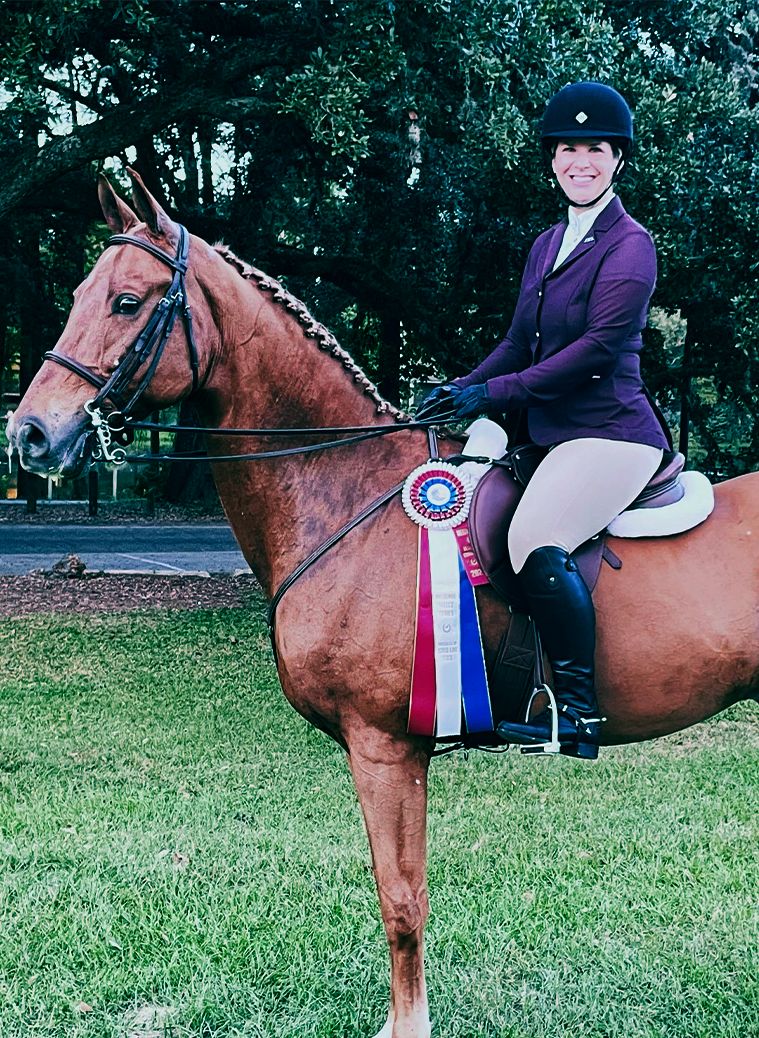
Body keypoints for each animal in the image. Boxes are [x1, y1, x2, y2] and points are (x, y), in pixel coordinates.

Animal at [7, 172, 759, 1038]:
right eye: (77, 294)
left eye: (127, 302)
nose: (29, 436)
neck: (346, 493)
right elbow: (397, 892)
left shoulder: (384, 746)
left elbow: (401, 901)